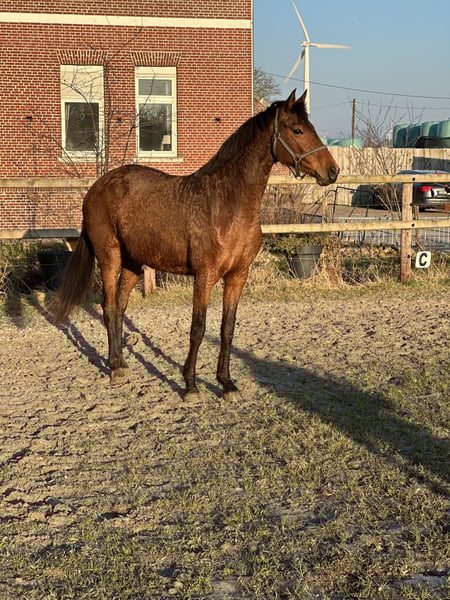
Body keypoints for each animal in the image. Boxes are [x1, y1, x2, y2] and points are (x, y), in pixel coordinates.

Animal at [52, 90, 339, 397]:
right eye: (297, 130)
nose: (333, 171)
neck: (227, 205)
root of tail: (97, 187)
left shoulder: (238, 276)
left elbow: (227, 329)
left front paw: (226, 383)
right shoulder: (205, 275)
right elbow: (198, 328)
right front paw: (190, 384)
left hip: (132, 263)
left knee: (119, 308)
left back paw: (121, 362)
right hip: (109, 257)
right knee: (108, 307)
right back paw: (115, 368)